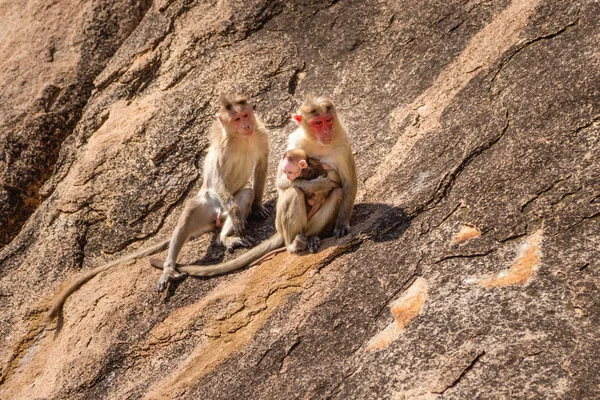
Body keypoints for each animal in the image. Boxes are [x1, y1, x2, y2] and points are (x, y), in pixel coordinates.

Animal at [45, 94, 270, 322]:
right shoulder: (223, 149)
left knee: (245, 195)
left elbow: (261, 165)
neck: (242, 139)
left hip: (223, 211)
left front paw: (257, 207)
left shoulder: (260, 135)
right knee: (190, 211)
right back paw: (169, 268)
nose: (246, 125)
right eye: (236, 119)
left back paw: (227, 236)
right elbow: (218, 178)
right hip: (208, 204)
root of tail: (217, 215)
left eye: (245, 115)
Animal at [148, 95, 356, 276]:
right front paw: (318, 183)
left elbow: (348, 184)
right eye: (318, 123)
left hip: (309, 224)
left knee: (337, 194)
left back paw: (312, 238)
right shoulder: (292, 141)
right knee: (292, 193)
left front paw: (342, 224)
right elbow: (282, 182)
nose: (327, 131)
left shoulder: (343, 141)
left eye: (329, 120)